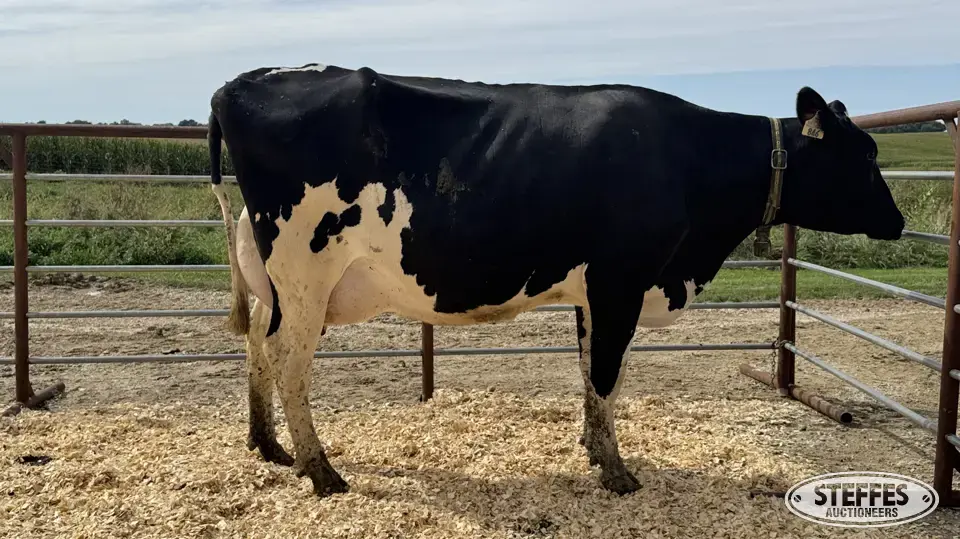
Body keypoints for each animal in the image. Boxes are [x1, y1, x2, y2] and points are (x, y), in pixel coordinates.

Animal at [206, 63, 905, 498]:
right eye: (864, 156)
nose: (899, 221)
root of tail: (237, 85)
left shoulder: (595, 291)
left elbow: (591, 372)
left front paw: (595, 450)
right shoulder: (622, 281)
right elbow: (607, 373)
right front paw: (617, 473)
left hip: (275, 283)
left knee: (257, 348)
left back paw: (268, 447)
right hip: (304, 272)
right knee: (287, 360)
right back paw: (320, 471)